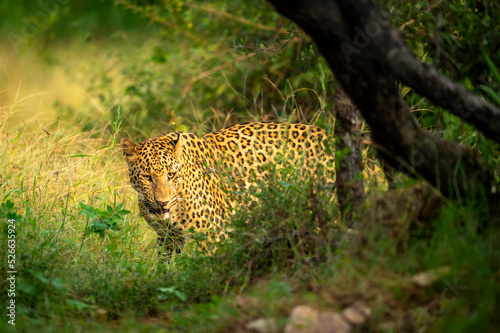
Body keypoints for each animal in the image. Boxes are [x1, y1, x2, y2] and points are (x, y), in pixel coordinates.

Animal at [119, 122, 334, 254]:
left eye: (170, 175)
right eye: (147, 177)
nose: (162, 202)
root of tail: (329, 136)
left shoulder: (212, 235)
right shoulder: (168, 237)